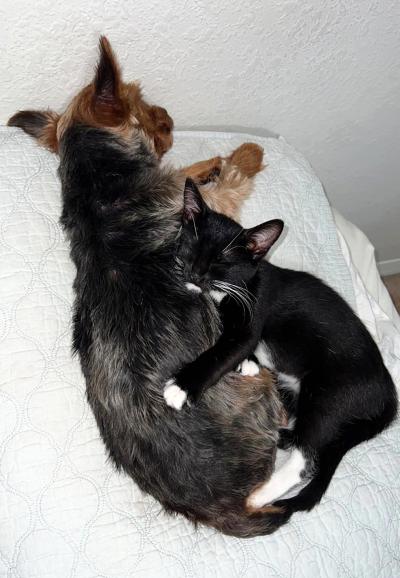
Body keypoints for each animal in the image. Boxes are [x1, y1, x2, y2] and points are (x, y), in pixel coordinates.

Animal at [166, 178, 396, 516]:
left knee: (308, 457)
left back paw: (261, 495)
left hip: (331, 393)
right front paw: (248, 363)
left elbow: (221, 353)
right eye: (192, 245)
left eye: (222, 260)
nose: (195, 273)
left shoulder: (253, 316)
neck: (241, 285)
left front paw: (181, 387)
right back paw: (283, 435)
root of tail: (388, 391)